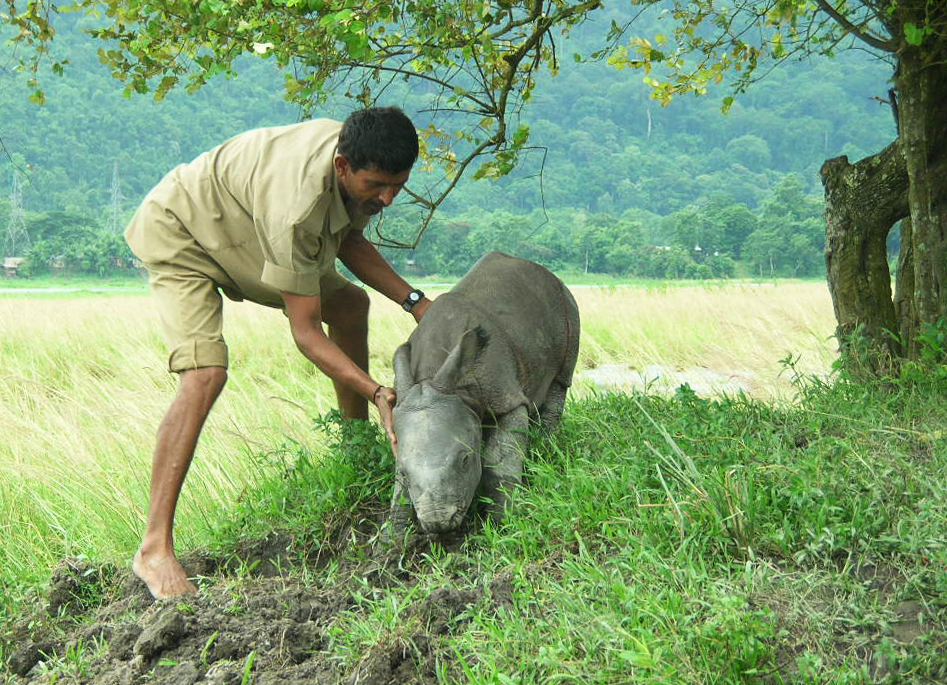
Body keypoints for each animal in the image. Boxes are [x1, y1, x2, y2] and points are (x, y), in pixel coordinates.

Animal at [389, 251, 580, 535]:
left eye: (465, 460)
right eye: (404, 472)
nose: (438, 523)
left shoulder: (506, 396)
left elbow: (499, 460)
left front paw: (505, 523)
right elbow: (399, 494)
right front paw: (391, 539)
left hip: (565, 301)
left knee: (561, 378)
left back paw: (546, 449)